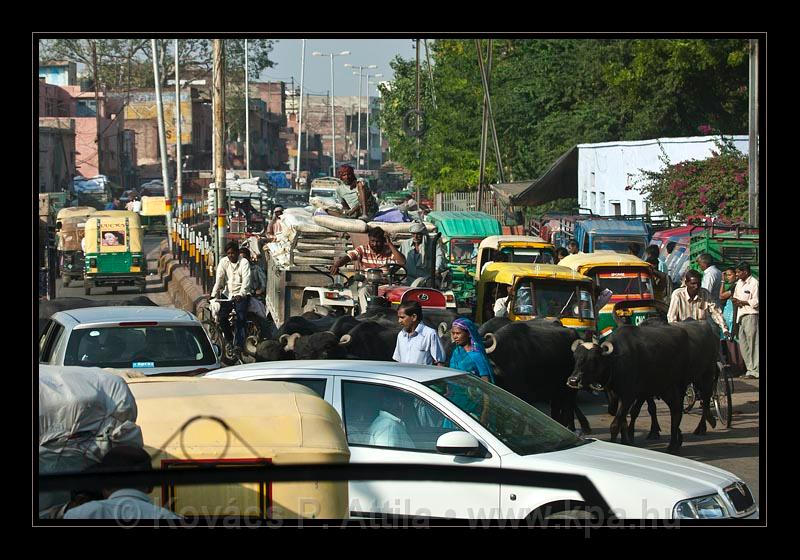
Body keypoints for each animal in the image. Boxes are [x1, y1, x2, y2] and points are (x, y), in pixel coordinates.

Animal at [564, 322, 692, 452]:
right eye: (576, 357)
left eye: (593, 359)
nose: (573, 380)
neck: (616, 362)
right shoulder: (616, 395)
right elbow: (622, 422)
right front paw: (625, 441)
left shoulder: (628, 396)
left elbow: (616, 424)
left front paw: (615, 442)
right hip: (663, 389)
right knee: (675, 410)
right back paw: (677, 441)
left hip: (677, 387)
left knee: (676, 412)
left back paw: (672, 446)